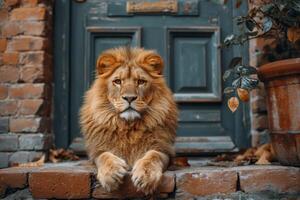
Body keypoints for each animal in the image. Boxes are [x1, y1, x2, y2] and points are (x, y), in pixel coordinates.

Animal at [79, 46, 178, 194]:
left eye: (141, 82)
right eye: (118, 81)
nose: (129, 98)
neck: (129, 128)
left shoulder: (164, 150)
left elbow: (153, 155)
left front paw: (145, 176)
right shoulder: (96, 151)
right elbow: (104, 156)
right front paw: (111, 174)